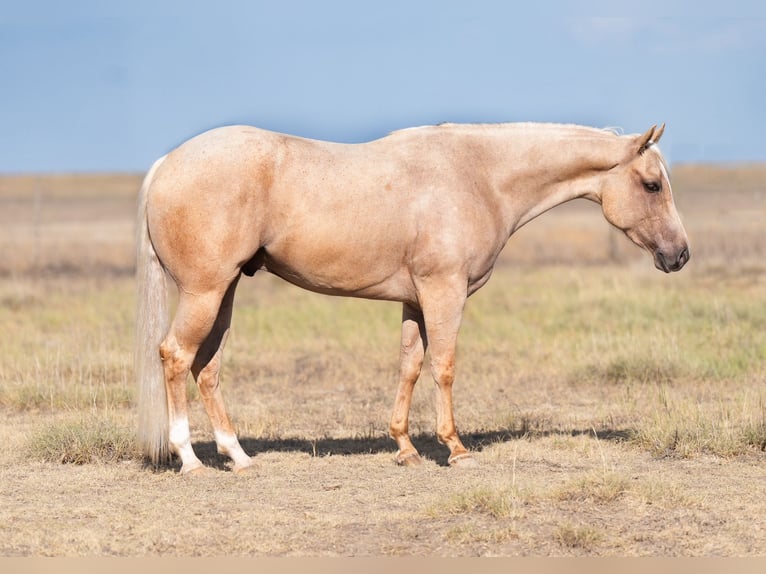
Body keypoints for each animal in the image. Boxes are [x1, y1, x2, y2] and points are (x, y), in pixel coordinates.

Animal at [135, 121, 692, 476]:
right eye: (651, 185)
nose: (680, 255)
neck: (478, 174)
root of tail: (166, 164)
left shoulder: (414, 301)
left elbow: (410, 365)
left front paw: (405, 448)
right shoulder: (445, 292)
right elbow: (443, 365)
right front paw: (456, 449)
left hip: (224, 293)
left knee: (207, 368)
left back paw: (239, 457)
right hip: (205, 292)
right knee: (176, 356)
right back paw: (189, 460)